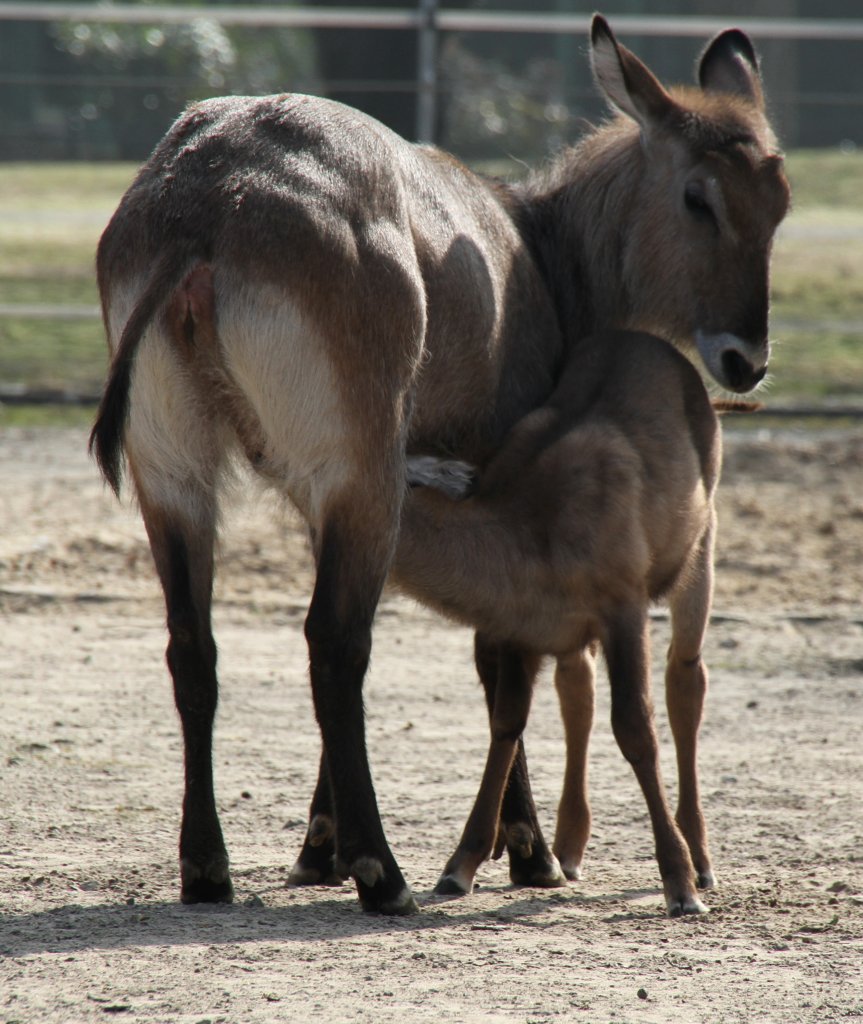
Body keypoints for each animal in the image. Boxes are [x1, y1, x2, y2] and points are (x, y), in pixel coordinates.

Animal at [399, 329, 720, 921]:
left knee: (685, 677)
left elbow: (636, 728)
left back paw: (702, 858)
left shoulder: (624, 606)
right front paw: (460, 865)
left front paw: (679, 883)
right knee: (578, 690)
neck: (529, 531)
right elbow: (506, 722)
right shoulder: (516, 630)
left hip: (700, 547)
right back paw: (569, 848)